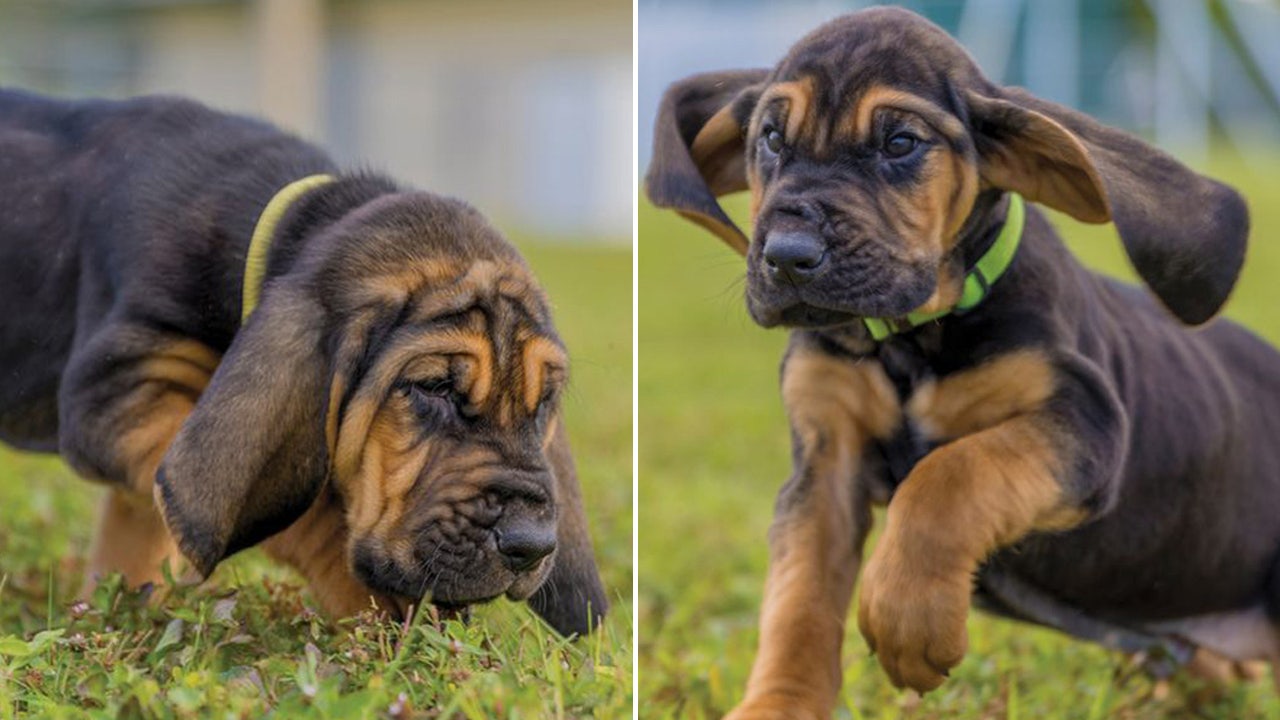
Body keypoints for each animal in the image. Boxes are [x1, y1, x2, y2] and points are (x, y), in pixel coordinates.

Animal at [0, 88, 606, 632]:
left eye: (544, 403)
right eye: (432, 388)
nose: (531, 545)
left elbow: (136, 537)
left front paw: (103, 623)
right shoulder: (115, 388)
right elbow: (307, 508)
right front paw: (371, 598)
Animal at [650, 7, 1280, 717]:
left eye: (900, 143)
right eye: (772, 139)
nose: (787, 256)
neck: (909, 339)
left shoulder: (1087, 420)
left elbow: (948, 476)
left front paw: (908, 621)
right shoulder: (824, 467)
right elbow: (797, 604)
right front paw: (776, 705)